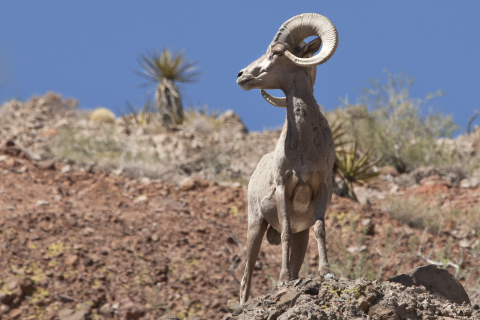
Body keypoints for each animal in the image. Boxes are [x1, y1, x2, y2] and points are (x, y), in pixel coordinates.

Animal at [236, 12, 338, 304]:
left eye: (278, 52)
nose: (241, 75)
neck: (304, 148)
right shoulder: (284, 187)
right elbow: (285, 234)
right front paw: (283, 281)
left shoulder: (321, 188)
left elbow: (320, 229)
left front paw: (327, 273)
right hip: (255, 226)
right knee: (245, 278)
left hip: (296, 237)